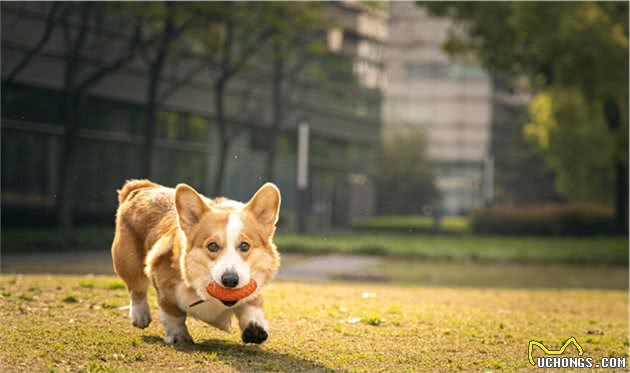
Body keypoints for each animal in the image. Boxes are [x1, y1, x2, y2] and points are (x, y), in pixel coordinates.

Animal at [111, 179, 282, 344]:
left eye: (245, 246)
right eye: (212, 246)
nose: (230, 280)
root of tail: (144, 187)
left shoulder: (254, 286)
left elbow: (252, 306)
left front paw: (255, 328)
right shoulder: (164, 286)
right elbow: (173, 315)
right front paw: (178, 336)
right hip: (127, 263)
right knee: (137, 288)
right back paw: (140, 315)